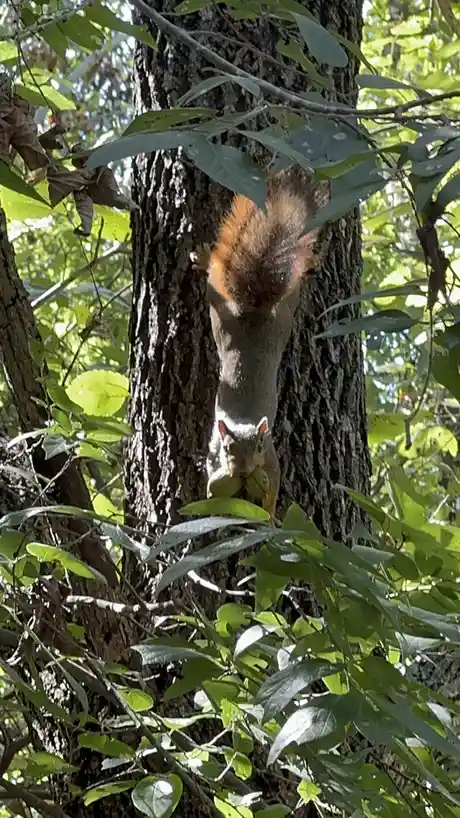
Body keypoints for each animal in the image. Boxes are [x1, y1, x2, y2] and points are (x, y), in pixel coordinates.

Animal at [203, 167, 330, 517]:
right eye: (228, 447)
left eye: (260, 444)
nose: (244, 470)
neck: (245, 422)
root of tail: (255, 311)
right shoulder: (212, 451)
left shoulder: (272, 459)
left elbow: (273, 487)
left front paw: (271, 515)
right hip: (228, 323)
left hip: (272, 319)